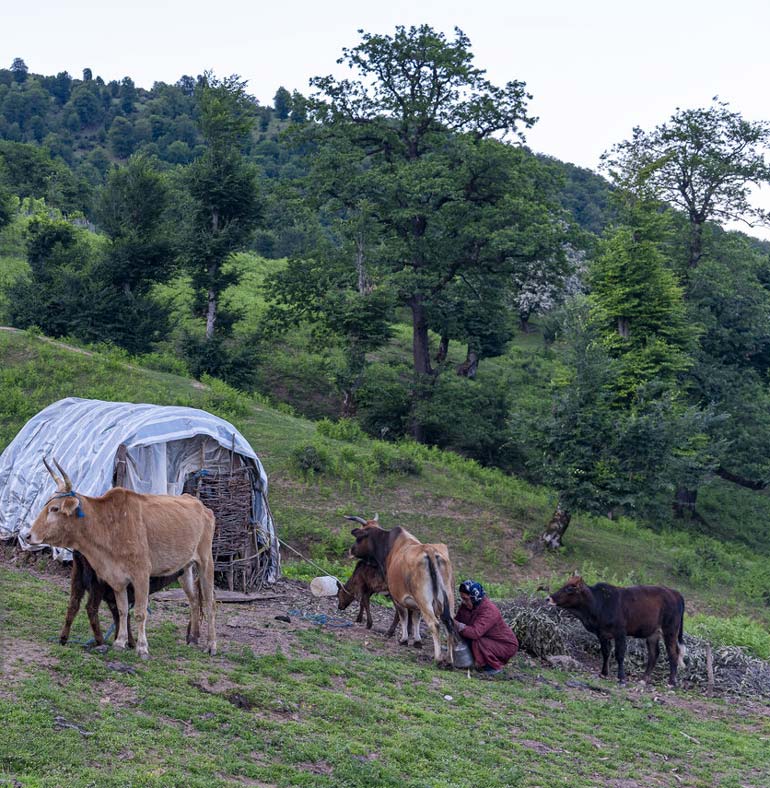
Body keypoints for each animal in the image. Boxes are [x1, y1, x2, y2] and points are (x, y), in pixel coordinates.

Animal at [28, 456, 216, 660]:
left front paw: (142, 647)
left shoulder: (141, 574)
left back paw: (211, 645)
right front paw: (120, 642)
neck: (108, 524)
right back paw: (193, 639)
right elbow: (122, 610)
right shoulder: (116, 578)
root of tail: (200, 505)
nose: (28, 535)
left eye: (54, 508)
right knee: (194, 600)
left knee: (209, 603)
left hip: (206, 562)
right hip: (185, 568)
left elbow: (140, 612)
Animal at [344, 516, 452, 668]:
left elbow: (402, 616)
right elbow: (415, 618)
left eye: (359, 538)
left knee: (434, 624)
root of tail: (429, 550)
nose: (351, 550)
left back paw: (438, 659)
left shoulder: (396, 596)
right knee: (450, 624)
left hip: (424, 600)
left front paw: (403, 639)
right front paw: (417, 641)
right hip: (448, 599)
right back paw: (450, 660)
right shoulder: (413, 602)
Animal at [544, 576, 684, 688]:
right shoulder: (602, 634)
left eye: (569, 588)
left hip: (670, 630)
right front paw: (604, 673)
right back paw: (643, 679)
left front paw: (621, 678)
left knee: (673, 653)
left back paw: (671, 682)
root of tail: (675, 593)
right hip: (653, 633)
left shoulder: (620, 633)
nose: (548, 598)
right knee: (654, 654)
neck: (599, 603)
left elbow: (619, 654)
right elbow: (606, 652)